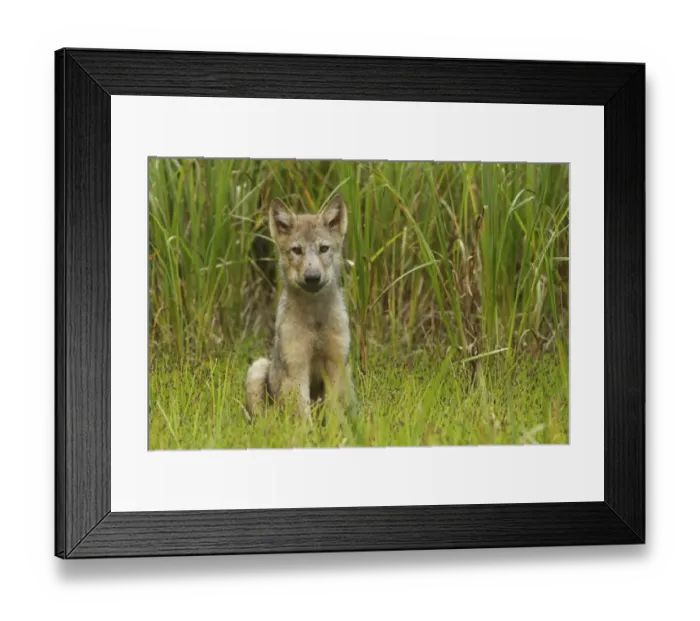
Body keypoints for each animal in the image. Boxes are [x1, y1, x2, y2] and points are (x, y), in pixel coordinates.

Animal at [245, 194, 356, 420]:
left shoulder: (335, 364)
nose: (312, 277)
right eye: (297, 250)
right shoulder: (296, 367)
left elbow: (333, 414)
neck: (316, 320)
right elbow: (303, 416)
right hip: (258, 369)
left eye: (323, 248)